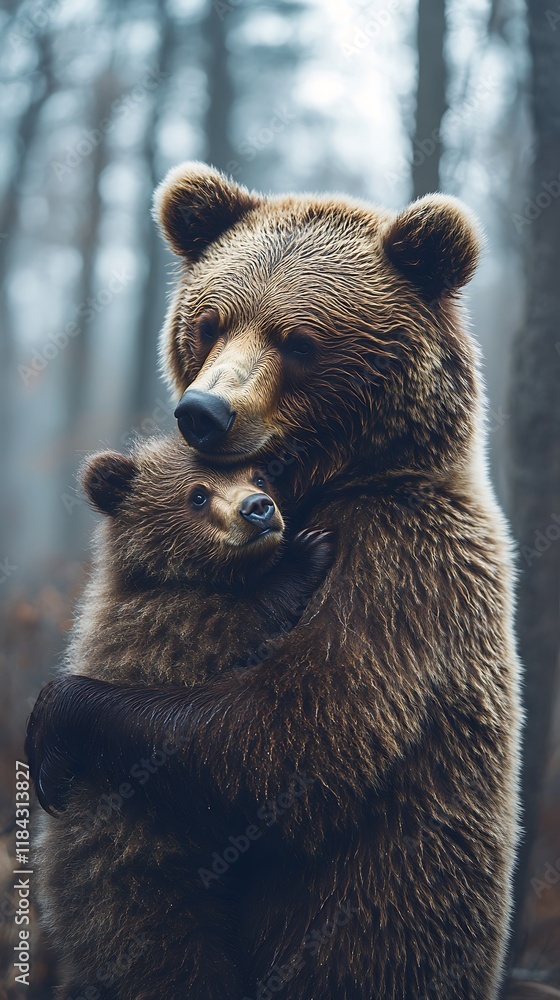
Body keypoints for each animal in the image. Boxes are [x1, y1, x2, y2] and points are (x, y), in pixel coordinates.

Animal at [32, 433, 334, 999]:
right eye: (197, 494)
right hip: (145, 897)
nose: (258, 509)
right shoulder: (167, 635)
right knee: (181, 964)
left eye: (258, 475)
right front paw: (310, 550)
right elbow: (238, 623)